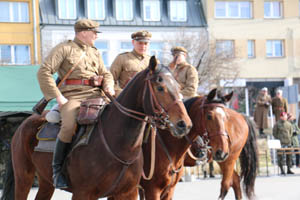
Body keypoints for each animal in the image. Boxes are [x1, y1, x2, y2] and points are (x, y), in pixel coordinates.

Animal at [0, 56, 192, 200]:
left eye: (179, 87)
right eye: (160, 87)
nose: (184, 124)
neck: (119, 145)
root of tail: (24, 124)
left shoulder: (127, 193)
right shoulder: (83, 194)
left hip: (46, 182)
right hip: (23, 178)